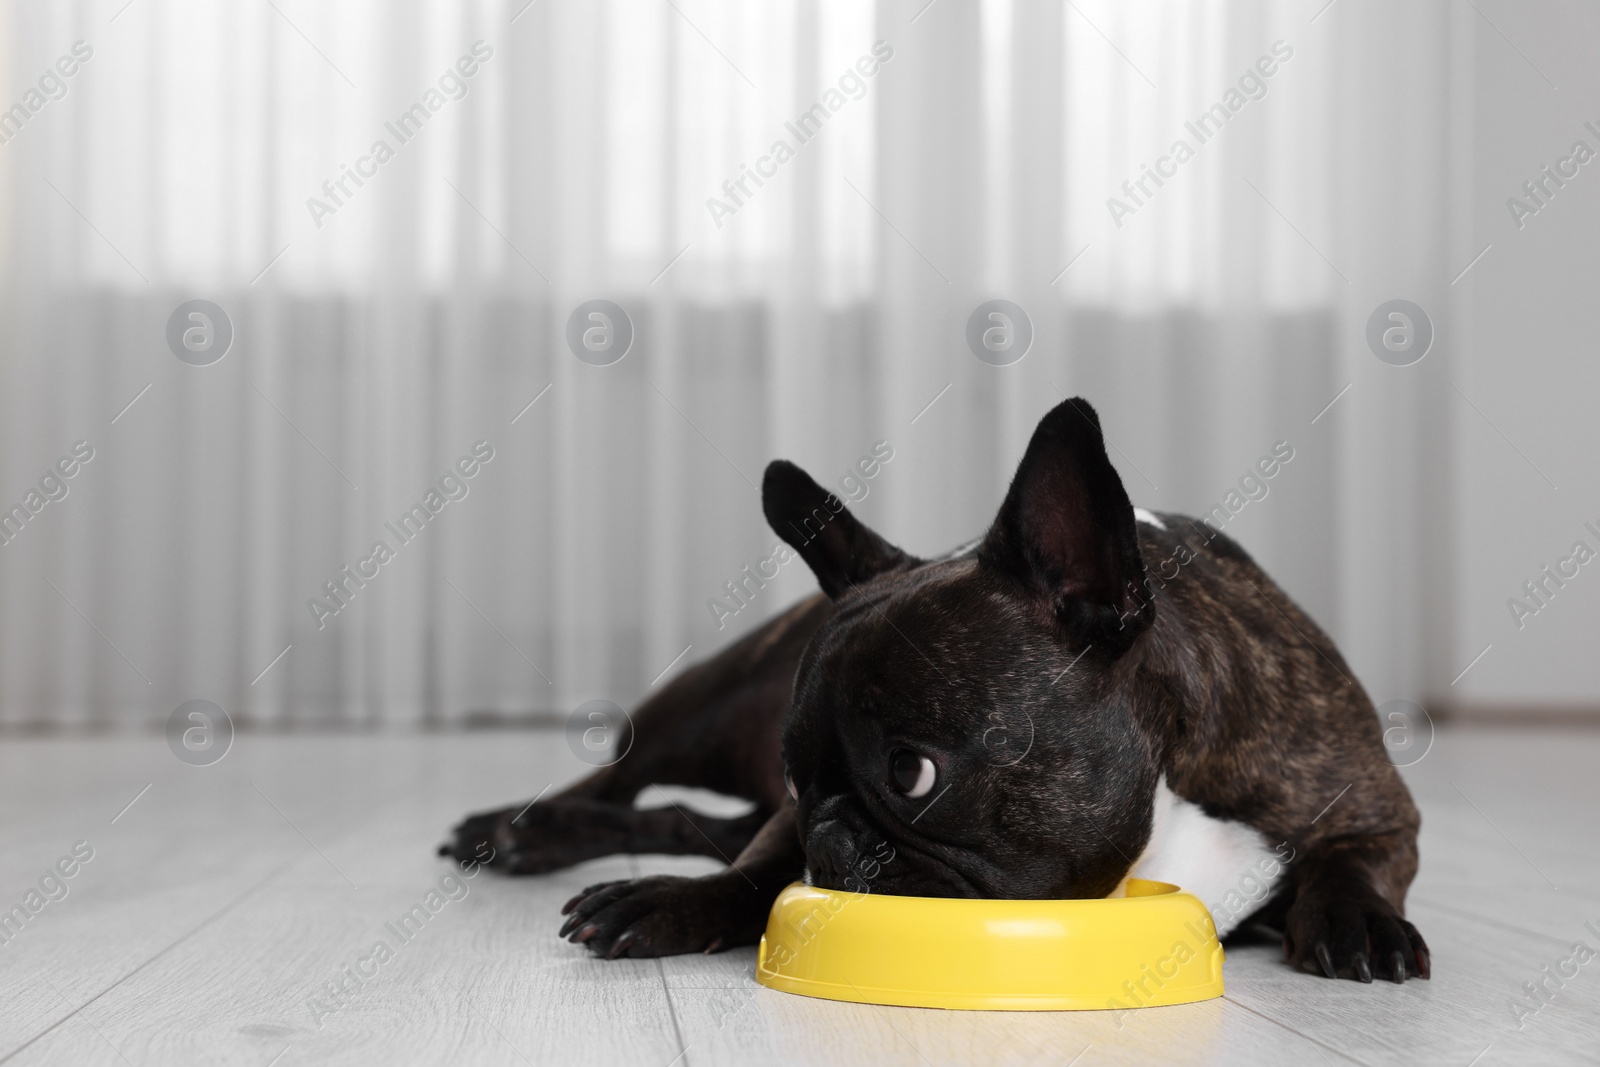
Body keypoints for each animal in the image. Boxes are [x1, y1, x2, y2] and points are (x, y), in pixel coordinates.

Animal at [441, 396, 1440, 979]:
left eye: (913, 772)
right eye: (799, 775)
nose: (834, 842)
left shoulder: (1366, 800)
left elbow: (1358, 858)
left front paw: (1357, 922)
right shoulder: (779, 813)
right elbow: (753, 869)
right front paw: (671, 901)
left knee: (680, 814)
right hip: (701, 705)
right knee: (621, 776)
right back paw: (515, 830)